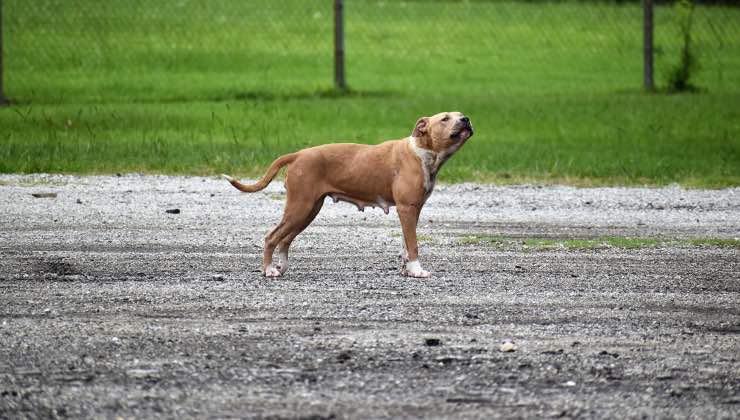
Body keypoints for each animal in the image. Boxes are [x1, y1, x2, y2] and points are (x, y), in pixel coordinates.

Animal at [221, 111, 474, 278]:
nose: (466, 119)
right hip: (299, 207)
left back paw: (280, 267)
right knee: (272, 237)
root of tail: (298, 154)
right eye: (445, 118)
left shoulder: (412, 211)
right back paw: (268, 270)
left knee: (285, 240)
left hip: (308, 210)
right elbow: (413, 244)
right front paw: (417, 270)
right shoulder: (407, 208)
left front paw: (407, 269)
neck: (422, 151)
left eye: (460, 115)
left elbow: (405, 242)